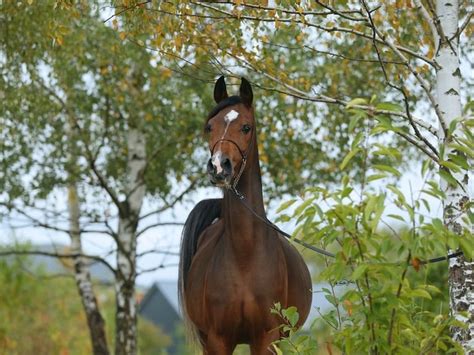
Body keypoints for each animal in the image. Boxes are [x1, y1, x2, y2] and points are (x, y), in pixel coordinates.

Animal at [178, 76, 312, 354]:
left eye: (246, 127)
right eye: (209, 127)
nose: (219, 166)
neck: (244, 256)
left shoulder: (266, 338)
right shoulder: (218, 339)